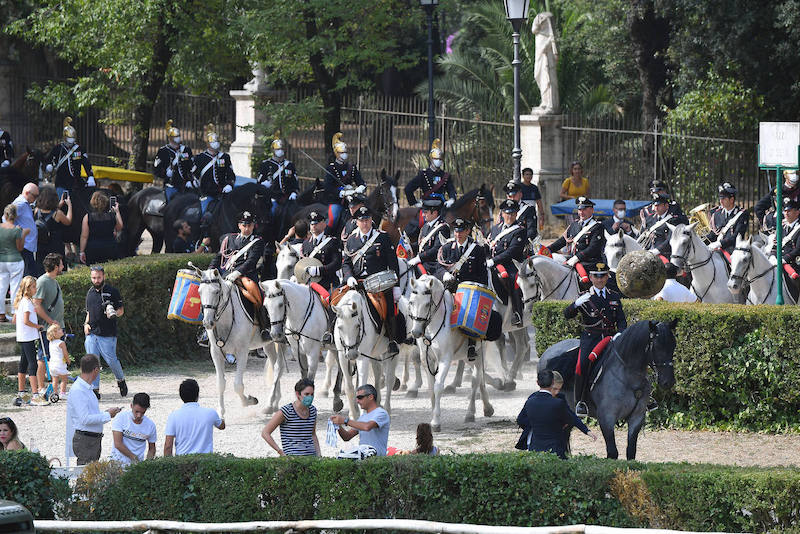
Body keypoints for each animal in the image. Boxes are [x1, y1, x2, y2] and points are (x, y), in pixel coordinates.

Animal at [196, 268, 284, 418]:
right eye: (200, 291)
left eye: (216, 292)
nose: (208, 323)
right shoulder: (216, 353)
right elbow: (220, 383)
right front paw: (221, 413)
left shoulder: (242, 352)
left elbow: (238, 385)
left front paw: (249, 400)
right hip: (268, 344)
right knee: (275, 366)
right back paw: (274, 403)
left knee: (281, 367)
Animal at [332, 288, 400, 418]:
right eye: (340, 327)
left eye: (357, 325)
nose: (352, 354)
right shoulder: (343, 357)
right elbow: (349, 387)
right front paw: (353, 414)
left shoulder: (362, 358)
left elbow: (361, 385)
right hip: (374, 355)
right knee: (378, 373)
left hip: (391, 353)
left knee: (389, 379)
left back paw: (387, 409)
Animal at [406, 276, 494, 432]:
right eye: (411, 302)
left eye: (427, 304)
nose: (416, 332)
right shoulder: (427, 360)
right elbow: (431, 388)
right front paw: (433, 415)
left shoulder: (445, 359)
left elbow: (438, 387)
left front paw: (436, 421)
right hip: (467, 357)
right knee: (481, 379)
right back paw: (487, 408)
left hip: (477, 354)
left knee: (476, 380)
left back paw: (470, 413)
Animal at [536, 320, 676, 462]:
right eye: (657, 347)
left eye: (673, 345)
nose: (668, 381)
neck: (627, 375)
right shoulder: (606, 418)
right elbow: (612, 453)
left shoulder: (637, 417)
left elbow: (631, 452)